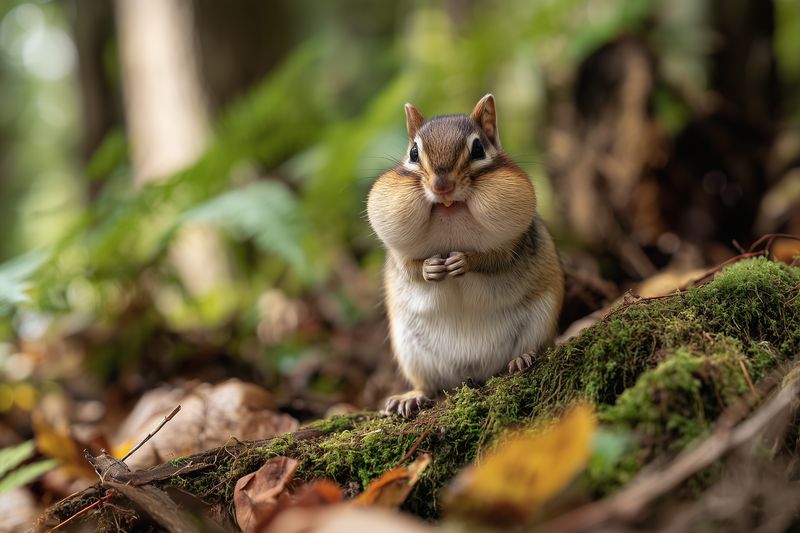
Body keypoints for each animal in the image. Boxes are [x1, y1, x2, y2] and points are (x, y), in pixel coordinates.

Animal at [367, 94, 564, 417]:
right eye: (413, 153)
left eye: (478, 149)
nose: (442, 187)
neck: (450, 210)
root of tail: (472, 372)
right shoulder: (398, 254)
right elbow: (410, 267)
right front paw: (431, 269)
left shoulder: (514, 243)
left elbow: (496, 259)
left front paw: (464, 261)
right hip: (411, 350)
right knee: (428, 385)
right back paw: (411, 397)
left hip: (541, 320)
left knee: (535, 348)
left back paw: (522, 358)